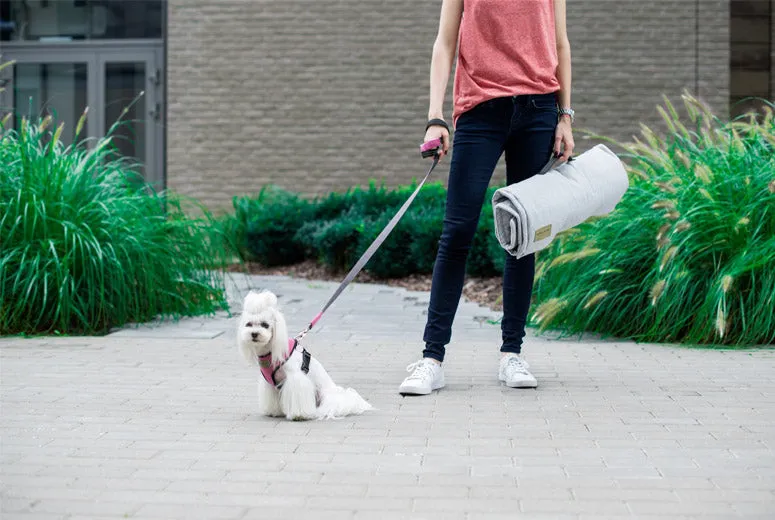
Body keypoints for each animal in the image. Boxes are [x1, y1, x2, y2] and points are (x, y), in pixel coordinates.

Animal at [236, 290, 372, 420]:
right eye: (248, 324)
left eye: (265, 324)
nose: (254, 334)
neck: (270, 351)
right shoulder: (270, 384)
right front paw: (274, 412)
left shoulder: (296, 378)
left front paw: (299, 415)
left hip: (325, 395)